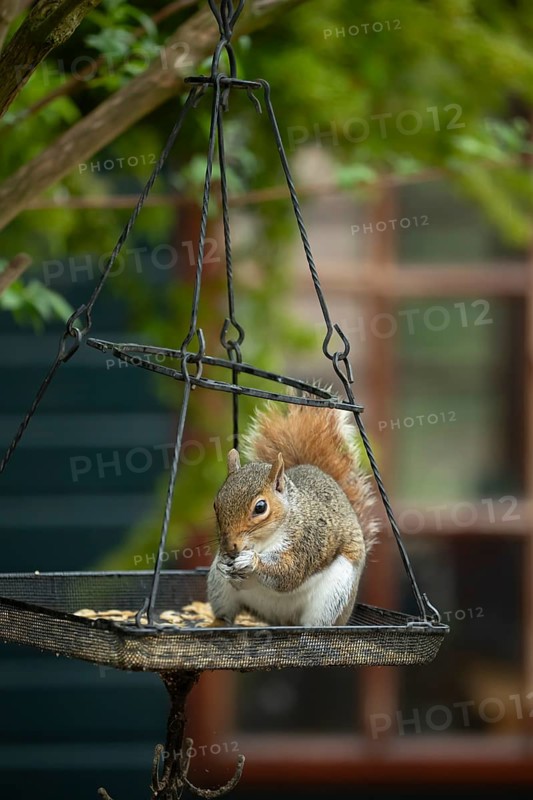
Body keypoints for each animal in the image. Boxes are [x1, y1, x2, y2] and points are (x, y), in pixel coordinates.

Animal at [207, 400, 377, 626]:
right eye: (216, 504)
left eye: (260, 507)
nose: (229, 547)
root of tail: (281, 620)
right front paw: (223, 564)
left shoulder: (307, 540)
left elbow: (289, 572)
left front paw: (251, 561)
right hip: (219, 588)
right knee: (225, 613)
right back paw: (217, 622)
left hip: (334, 593)